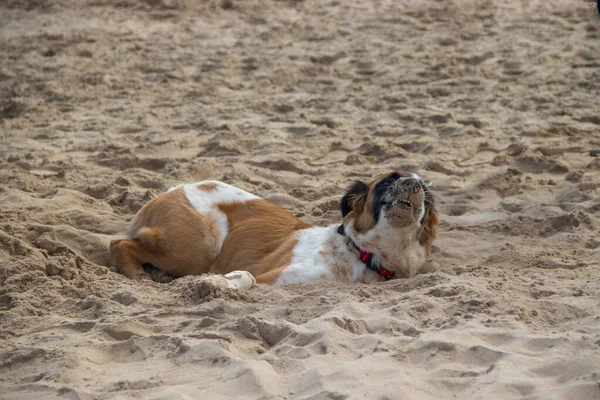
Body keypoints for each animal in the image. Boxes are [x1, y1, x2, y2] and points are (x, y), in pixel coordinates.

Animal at [109, 170, 436, 290]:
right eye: (388, 180)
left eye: (425, 189)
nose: (414, 182)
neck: (362, 256)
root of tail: (176, 188)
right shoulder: (271, 276)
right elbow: (249, 276)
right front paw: (219, 283)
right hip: (199, 246)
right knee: (117, 243)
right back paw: (137, 273)